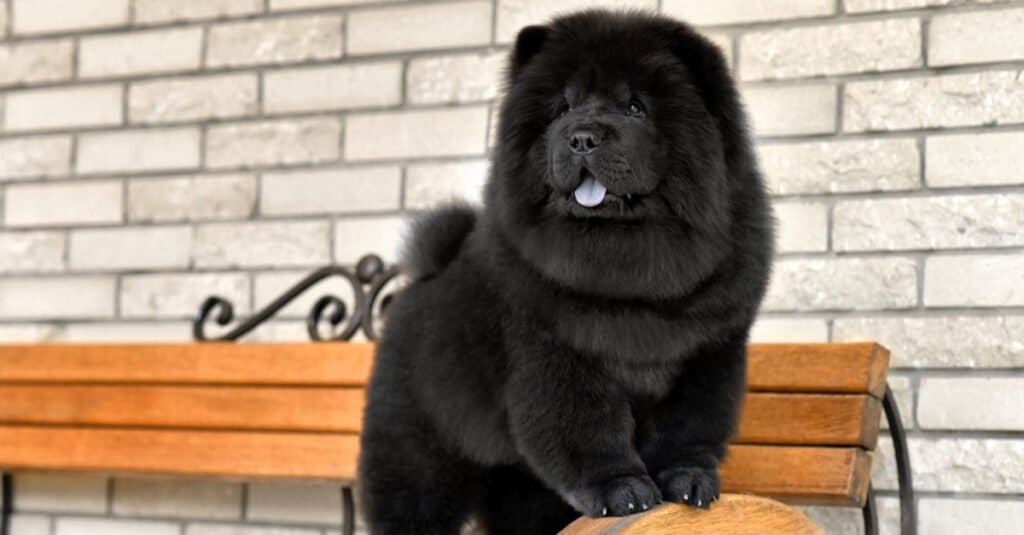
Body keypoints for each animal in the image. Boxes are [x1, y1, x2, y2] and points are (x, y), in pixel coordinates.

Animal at [356, 8, 770, 532]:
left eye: (636, 107)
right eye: (561, 109)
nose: (582, 137)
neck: (629, 256)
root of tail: (427, 274)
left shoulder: (709, 352)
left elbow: (690, 427)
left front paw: (689, 481)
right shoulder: (559, 356)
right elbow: (588, 429)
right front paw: (623, 492)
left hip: (518, 486)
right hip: (420, 452)